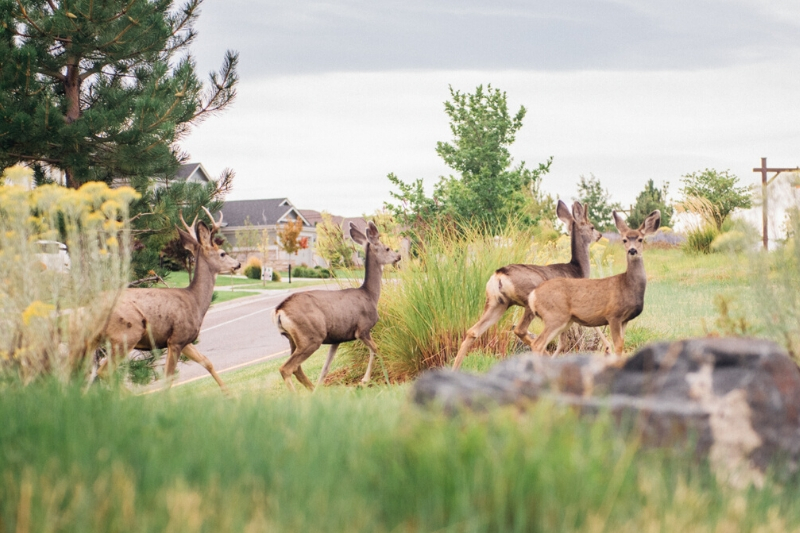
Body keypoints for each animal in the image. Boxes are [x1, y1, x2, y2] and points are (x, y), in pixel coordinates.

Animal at [92, 208, 240, 392]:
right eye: (222, 253)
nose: (238, 264)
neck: (195, 301)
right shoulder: (177, 338)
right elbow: (168, 379)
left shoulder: (184, 340)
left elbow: (207, 361)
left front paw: (229, 394)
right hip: (126, 334)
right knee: (104, 371)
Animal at [272, 221, 401, 392]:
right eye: (387, 248)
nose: (399, 256)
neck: (370, 295)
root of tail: (279, 311)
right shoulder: (362, 329)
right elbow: (376, 350)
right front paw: (365, 380)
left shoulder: (336, 338)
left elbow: (325, 368)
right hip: (312, 337)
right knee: (286, 368)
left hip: (293, 339)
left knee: (296, 368)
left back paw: (313, 391)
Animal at [451, 200, 607, 370]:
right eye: (591, 226)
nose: (600, 235)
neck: (577, 270)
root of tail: (499, 275)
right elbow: (565, 342)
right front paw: (608, 347)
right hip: (528, 300)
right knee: (521, 331)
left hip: (497, 303)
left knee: (473, 331)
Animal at [528, 210, 661, 356]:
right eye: (624, 240)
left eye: (640, 239)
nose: (632, 250)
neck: (628, 285)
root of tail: (533, 294)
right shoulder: (613, 315)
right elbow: (618, 345)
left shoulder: (625, 320)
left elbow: (621, 343)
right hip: (554, 315)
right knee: (538, 344)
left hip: (565, 320)